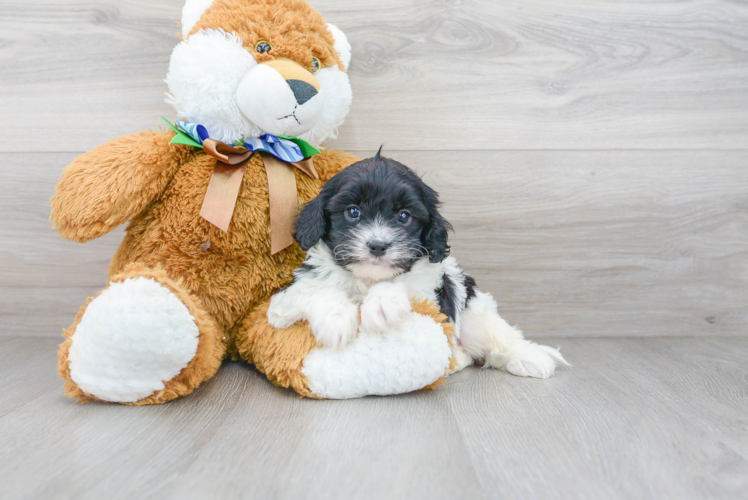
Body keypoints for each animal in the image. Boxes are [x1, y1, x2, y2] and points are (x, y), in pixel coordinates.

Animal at [268, 153, 568, 378]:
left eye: (404, 217)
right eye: (353, 212)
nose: (378, 245)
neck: (367, 280)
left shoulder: (431, 296)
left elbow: (406, 282)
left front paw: (382, 304)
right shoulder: (284, 300)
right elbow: (314, 291)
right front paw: (337, 319)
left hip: (474, 313)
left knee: (497, 336)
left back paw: (529, 357)